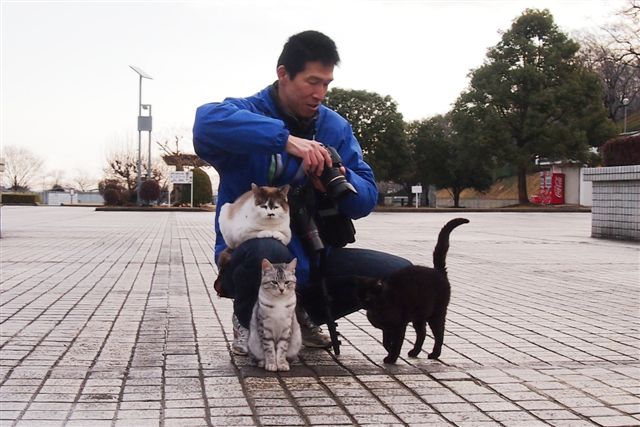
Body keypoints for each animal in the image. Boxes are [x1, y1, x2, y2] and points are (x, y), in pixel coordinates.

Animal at [356, 219, 470, 366]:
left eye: (368, 297)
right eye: (359, 295)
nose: (363, 303)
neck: (378, 308)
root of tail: (438, 271)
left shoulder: (399, 326)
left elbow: (396, 343)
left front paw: (392, 358)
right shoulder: (386, 329)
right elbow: (385, 342)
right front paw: (389, 353)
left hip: (436, 314)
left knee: (439, 334)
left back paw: (434, 354)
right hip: (419, 316)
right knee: (422, 333)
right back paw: (415, 352)